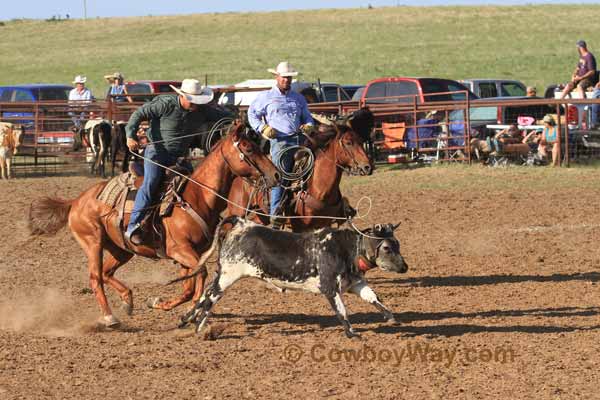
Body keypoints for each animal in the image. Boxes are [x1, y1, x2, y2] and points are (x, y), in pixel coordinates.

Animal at [27, 122, 280, 328]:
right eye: (248, 148)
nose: (276, 175)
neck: (197, 197)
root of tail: (76, 201)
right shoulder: (179, 250)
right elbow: (200, 274)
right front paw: (191, 312)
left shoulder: (190, 254)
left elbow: (189, 285)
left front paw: (163, 304)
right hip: (93, 242)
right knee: (95, 277)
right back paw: (110, 317)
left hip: (121, 249)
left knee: (107, 272)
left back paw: (128, 300)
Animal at [178, 216, 408, 338]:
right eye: (387, 247)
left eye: (397, 244)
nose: (405, 267)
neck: (346, 249)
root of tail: (241, 224)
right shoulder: (330, 287)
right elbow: (342, 310)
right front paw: (351, 333)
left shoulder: (355, 283)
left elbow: (373, 297)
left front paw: (390, 316)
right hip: (229, 275)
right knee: (210, 298)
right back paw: (199, 328)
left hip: (222, 273)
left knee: (205, 294)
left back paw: (185, 320)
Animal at [227, 108, 372, 231]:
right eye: (348, 142)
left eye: (361, 141)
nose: (368, 166)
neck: (319, 188)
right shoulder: (299, 227)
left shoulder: (324, 224)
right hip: (236, 210)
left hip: (260, 215)